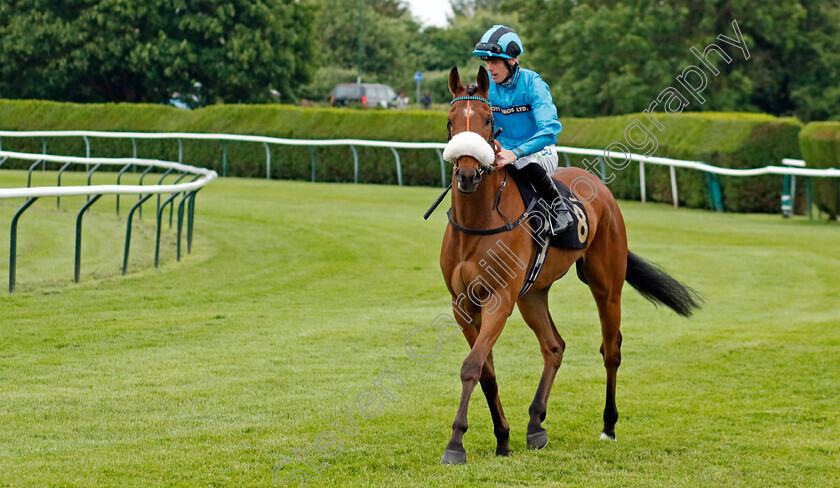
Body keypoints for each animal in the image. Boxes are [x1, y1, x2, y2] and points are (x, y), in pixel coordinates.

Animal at [436, 66, 700, 466]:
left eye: (488, 120)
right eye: (451, 120)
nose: (467, 175)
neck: (478, 222)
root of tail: (599, 186)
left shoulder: (500, 299)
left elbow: (471, 367)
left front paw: (455, 444)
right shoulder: (463, 304)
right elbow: (485, 371)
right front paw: (503, 438)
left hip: (606, 286)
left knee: (611, 350)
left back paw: (608, 426)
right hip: (533, 295)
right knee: (554, 346)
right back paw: (535, 424)